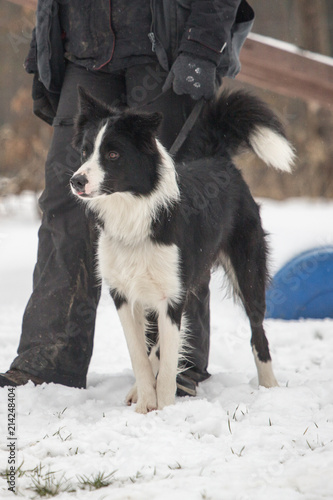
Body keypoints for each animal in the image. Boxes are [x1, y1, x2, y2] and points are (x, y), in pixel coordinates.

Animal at [70, 87, 294, 414]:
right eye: (86, 151)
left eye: (112, 154)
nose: (76, 181)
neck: (136, 214)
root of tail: (219, 158)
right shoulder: (124, 294)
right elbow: (140, 355)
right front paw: (144, 404)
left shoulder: (172, 296)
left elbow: (165, 360)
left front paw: (164, 409)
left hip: (248, 272)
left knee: (258, 332)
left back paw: (270, 387)